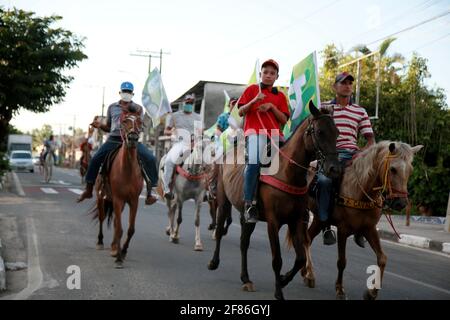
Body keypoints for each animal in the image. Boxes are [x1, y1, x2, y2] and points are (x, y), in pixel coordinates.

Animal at [94, 110, 143, 268]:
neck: (127, 170)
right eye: (124, 121)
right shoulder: (117, 199)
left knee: (115, 222)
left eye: (140, 122)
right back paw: (101, 242)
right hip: (101, 197)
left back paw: (115, 248)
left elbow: (130, 229)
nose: (133, 138)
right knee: (102, 218)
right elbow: (120, 229)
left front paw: (123, 251)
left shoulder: (134, 201)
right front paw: (119, 259)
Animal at [207, 102, 342, 300]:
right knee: (219, 230)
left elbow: (300, 258)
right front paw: (279, 291)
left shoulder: (297, 221)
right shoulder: (273, 222)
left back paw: (246, 278)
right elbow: (277, 259)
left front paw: (284, 279)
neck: (287, 173)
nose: (334, 168)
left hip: (247, 216)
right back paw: (214, 262)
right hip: (224, 201)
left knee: (244, 242)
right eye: (319, 132)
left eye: (337, 133)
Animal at [304, 141, 424, 298]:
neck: (359, 189)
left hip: (318, 220)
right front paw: (339, 289)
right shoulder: (342, 229)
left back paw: (306, 272)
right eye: (393, 169)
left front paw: (372, 292)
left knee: (307, 239)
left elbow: (382, 258)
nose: (401, 203)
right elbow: (341, 261)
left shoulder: (370, 229)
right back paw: (309, 274)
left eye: (410, 170)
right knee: (305, 240)